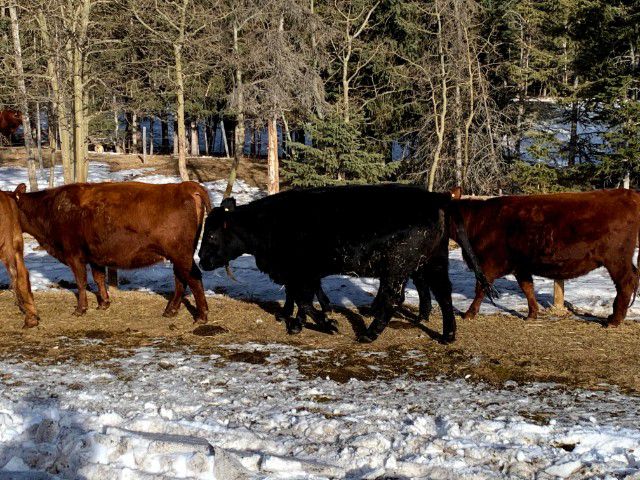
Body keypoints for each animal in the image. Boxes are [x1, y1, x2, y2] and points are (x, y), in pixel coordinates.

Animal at [11, 181, 211, 323]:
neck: (52, 209)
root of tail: (184, 186)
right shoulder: (95, 257)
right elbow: (99, 278)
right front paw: (104, 304)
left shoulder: (74, 256)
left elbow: (81, 282)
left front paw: (80, 309)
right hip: (177, 257)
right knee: (180, 280)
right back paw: (171, 311)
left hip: (181, 255)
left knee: (192, 278)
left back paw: (201, 316)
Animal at [198, 184, 494, 343]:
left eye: (211, 235)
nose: (201, 261)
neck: (269, 225)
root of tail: (436, 197)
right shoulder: (302, 274)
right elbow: (303, 299)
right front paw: (298, 323)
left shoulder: (300, 272)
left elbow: (304, 300)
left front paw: (327, 324)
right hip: (433, 262)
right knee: (443, 295)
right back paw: (448, 335)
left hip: (398, 267)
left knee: (393, 298)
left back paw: (370, 333)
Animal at [415, 188, 640, 326]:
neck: (478, 222)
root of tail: (628, 193)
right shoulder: (520, 265)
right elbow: (527, 288)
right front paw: (532, 314)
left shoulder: (488, 264)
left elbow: (480, 288)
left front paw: (469, 314)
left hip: (616, 258)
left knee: (626, 282)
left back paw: (614, 320)